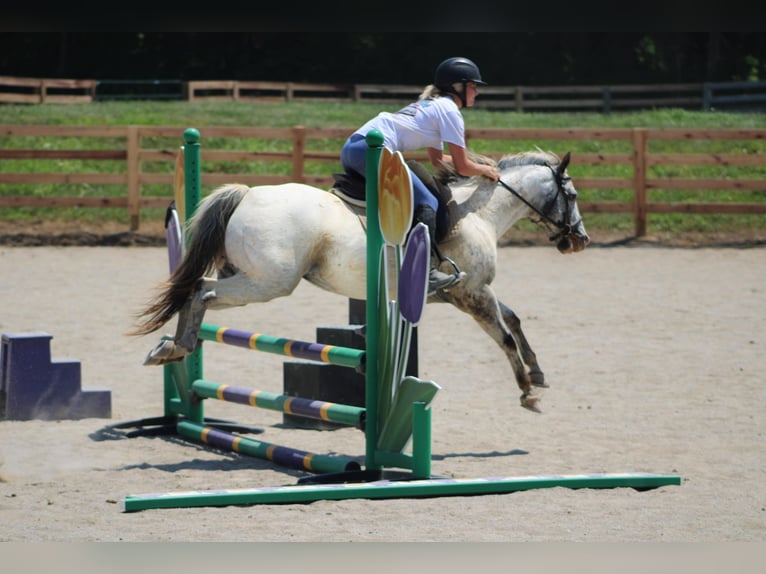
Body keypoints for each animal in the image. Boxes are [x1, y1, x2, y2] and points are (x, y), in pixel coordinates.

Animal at [132, 151, 592, 412]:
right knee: (200, 289)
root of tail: (247, 193)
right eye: (571, 195)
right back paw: (178, 346)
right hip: (269, 283)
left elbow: (513, 319)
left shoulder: (464, 294)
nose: (580, 241)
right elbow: (504, 336)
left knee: (198, 291)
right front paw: (527, 392)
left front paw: (538, 373)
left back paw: (170, 347)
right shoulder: (472, 293)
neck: (477, 212)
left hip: (246, 277)